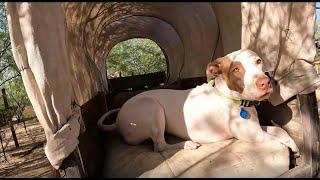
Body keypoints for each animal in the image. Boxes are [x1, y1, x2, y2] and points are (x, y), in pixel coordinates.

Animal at [97, 49, 300, 158]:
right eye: (236, 69)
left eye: (258, 61)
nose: (265, 82)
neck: (234, 100)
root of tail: (119, 118)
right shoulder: (254, 136)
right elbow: (277, 139)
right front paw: (290, 147)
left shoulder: (256, 129)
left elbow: (280, 131)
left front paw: (295, 145)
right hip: (151, 106)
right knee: (159, 146)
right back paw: (188, 144)